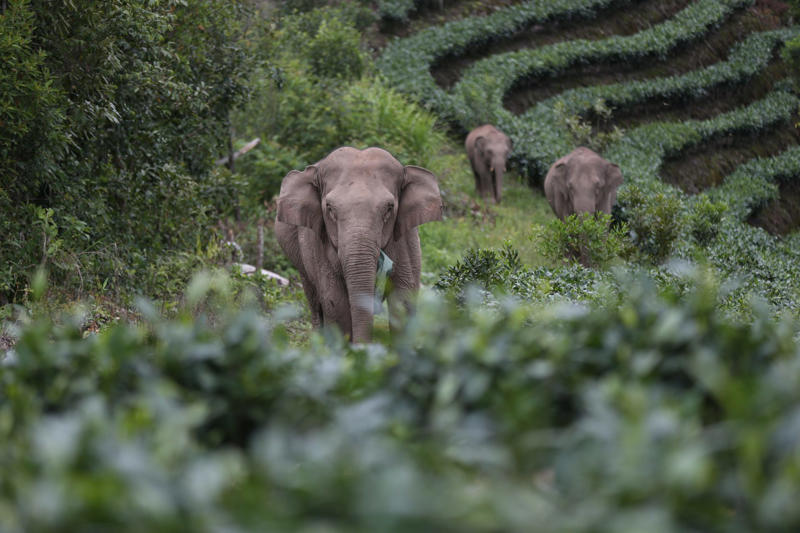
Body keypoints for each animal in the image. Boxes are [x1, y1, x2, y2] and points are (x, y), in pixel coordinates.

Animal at [274, 146, 443, 343]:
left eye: (389, 208)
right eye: (329, 208)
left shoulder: (405, 237)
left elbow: (403, 298)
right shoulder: (317, 241)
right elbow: (336, 303)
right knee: (315, 302)